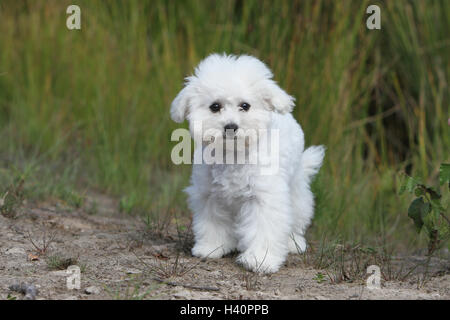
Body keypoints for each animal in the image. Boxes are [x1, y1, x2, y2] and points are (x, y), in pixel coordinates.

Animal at [171, 53, 324, 272]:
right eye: (215, 107)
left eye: (245, 106)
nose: (231, 126)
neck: (233, 154)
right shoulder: (210, 195)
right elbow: (213, 222)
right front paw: (212, 246)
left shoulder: (264, 198)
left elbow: (264, 229)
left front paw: (261, 259)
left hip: (296, 191)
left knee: (297, 217)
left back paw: (293, 243)